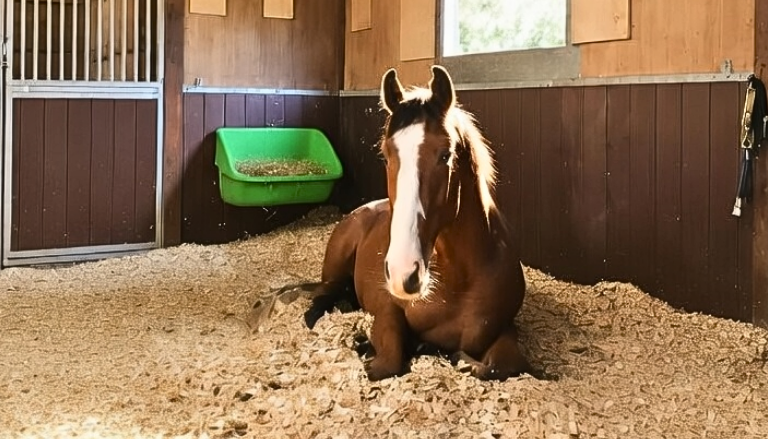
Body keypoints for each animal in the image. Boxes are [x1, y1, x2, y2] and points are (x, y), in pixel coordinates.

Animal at [290, 65, 530, 381]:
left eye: (446, 154)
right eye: (385, 155)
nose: (403, 272)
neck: (460, 279)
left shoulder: (505, 329)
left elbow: (503, 365)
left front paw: (453, 356)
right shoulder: (387, 308)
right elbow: (388, 362)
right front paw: (366, 344)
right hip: (334, 271)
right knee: (320, 298)